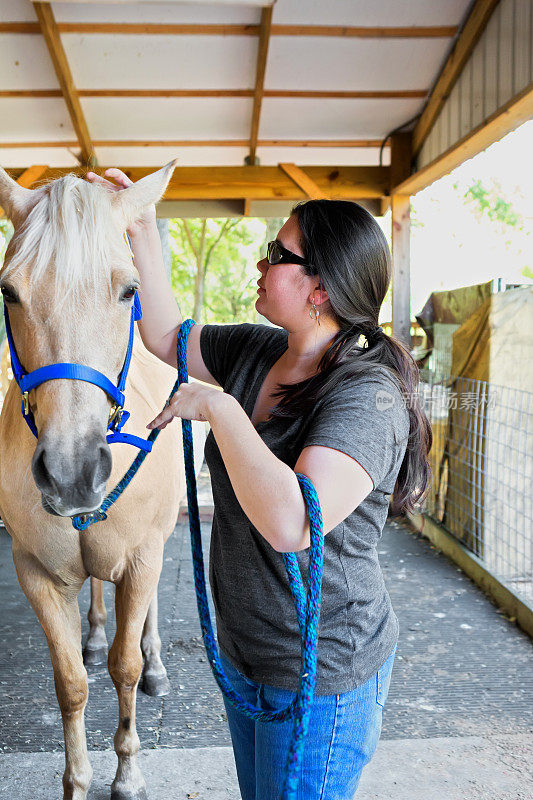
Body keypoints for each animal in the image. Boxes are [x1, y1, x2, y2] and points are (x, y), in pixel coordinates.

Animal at [0, 162, 187, 800]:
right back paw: (98, 630)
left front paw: (126, 773)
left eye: (130, 290)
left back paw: (156, 663)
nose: (73, 471)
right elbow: (72, 681)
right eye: (8, 291)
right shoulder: (34, 571)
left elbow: (123, 670)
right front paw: (76, 782)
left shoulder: (142, 557)